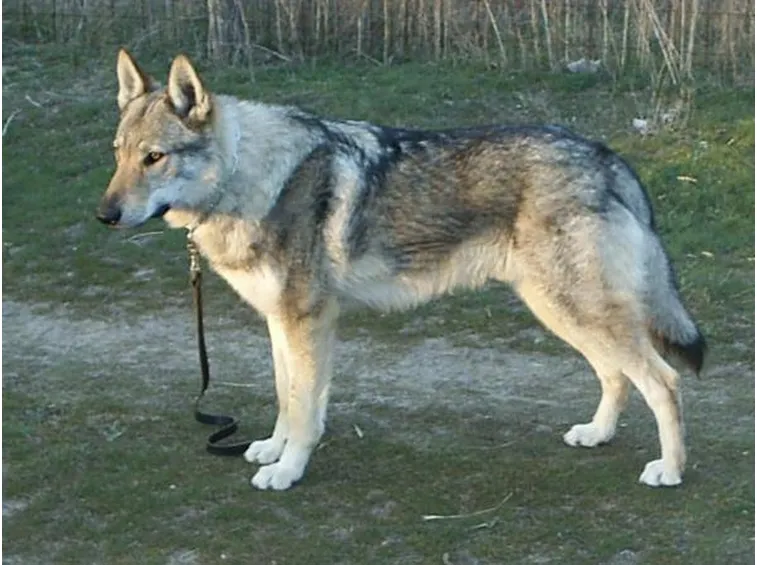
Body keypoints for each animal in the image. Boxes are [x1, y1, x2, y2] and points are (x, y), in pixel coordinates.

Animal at [97, 50, 706, 491]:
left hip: (575, 309)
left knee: (663, 381)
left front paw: (287, 471)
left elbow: (303, 407)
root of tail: (608, 157)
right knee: (615, 375)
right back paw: (597, 434)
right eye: (119, 153)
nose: (104, 215)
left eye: (155, 158)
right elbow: (286, 397)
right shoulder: (281, 322)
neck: (252, 179)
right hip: (561, 311)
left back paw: (670, 470)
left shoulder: (307, 322)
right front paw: (274, 449)